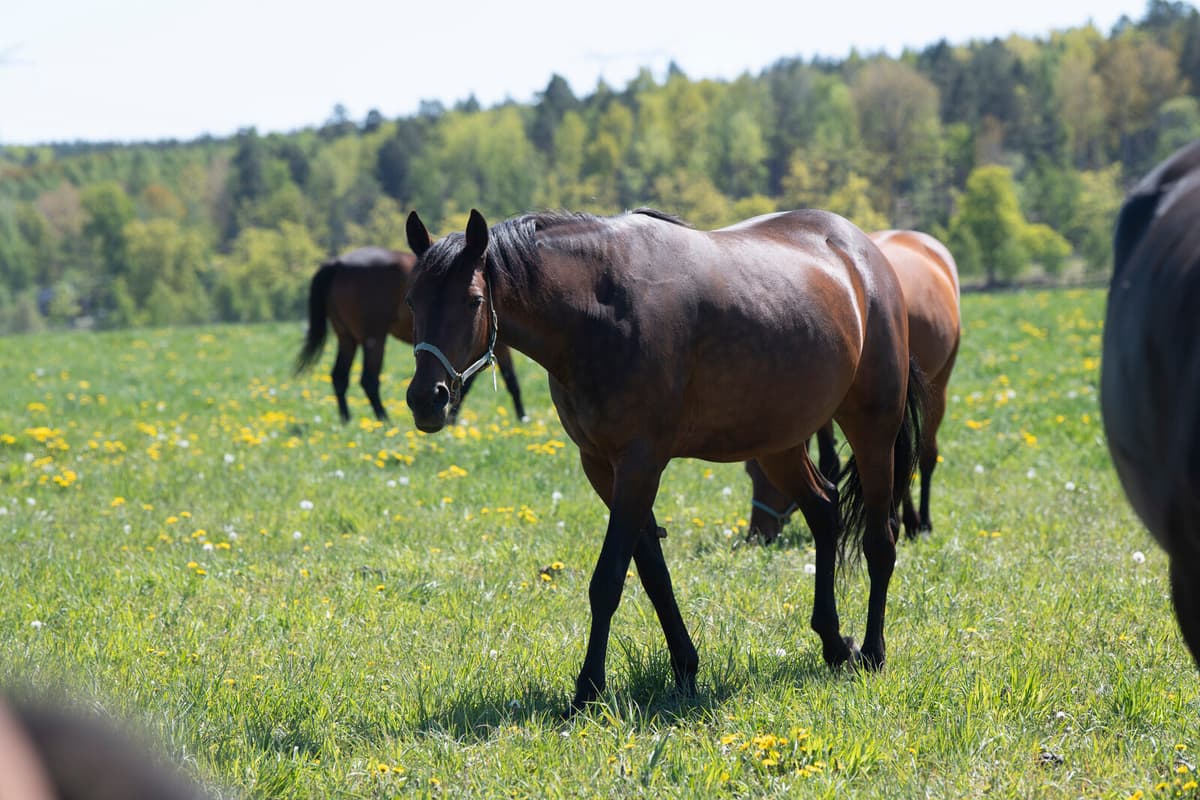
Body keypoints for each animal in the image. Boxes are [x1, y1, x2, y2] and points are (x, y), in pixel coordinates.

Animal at [294, 246, 526, 423]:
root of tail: (338, 263)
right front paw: (522, 417)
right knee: (368, 380)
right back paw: (383, 419)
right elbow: (511, 381)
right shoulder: (496, 346)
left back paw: (346, 419)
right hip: (374, 338)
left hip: (347, 338)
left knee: (339, 377)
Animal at [403, 206, 926, 712]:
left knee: (880, 541)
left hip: (873, 432)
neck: (598, 312)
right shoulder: (602, 466)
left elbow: (608, 580)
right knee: (823, 508)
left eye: (473, 300)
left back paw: (872, 652)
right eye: (413, 301)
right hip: (779, 442)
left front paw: (588, 690)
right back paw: (834, 643)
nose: (426, 399)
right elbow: (654, 574)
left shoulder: (640, 464)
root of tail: (865, 256)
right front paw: (685, 669)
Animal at [745, 229, 961, 543]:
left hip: (939, 383)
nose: (758, 535)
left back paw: (922, 522)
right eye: (750, 472)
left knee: (928, 454)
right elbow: (831, 460)